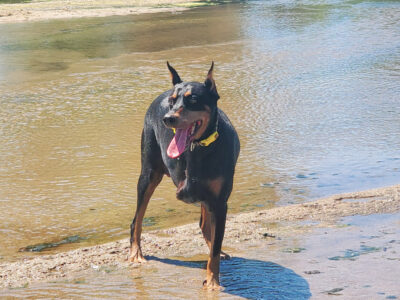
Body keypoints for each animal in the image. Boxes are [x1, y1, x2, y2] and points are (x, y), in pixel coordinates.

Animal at [130, 62, 239, 290]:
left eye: (194, 100)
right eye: (173, 102)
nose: (168, 118)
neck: (199, 148)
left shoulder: (219, 201)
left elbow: (215, 248)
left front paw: (213, 281)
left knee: (207, 227)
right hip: (148, 175)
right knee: (137, 220)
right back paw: (136, 253)